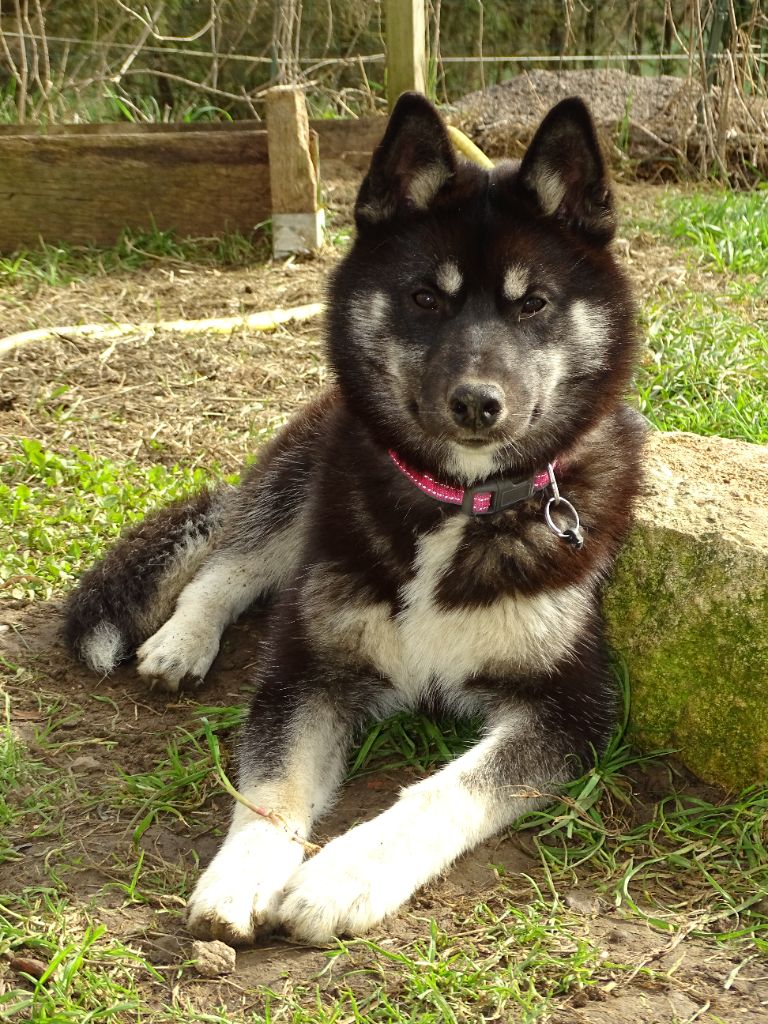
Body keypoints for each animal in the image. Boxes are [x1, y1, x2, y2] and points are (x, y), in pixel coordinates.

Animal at [64, 94, 643, 942]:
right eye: (425, 298)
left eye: (532, 303)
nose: (477, 404)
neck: (458, 503)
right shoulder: (309, 670)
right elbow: (270, 788)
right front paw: (240, 876)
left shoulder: (569, 707)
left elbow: (447, 790)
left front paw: (345, 875)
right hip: (302, 488)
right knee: (226, 566)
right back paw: (182, 639)